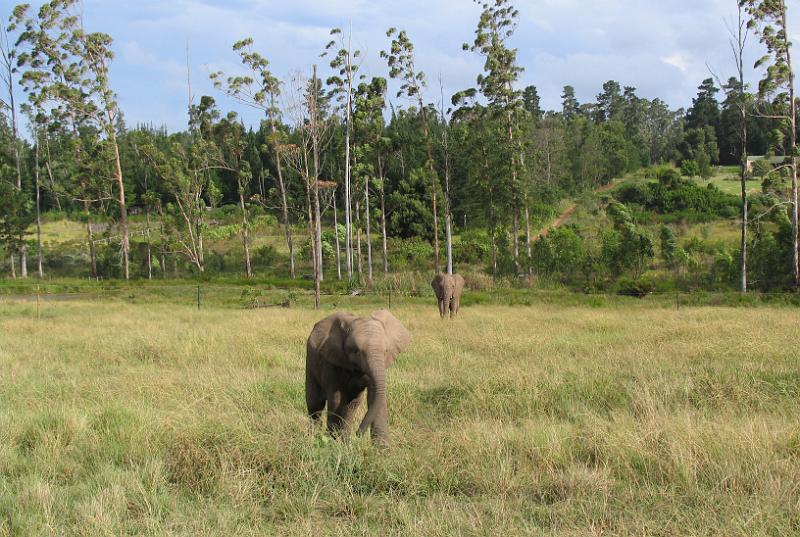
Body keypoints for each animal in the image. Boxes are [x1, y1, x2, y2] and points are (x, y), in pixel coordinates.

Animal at [304, 308, 410, 446]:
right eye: (356, 351)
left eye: (386, 351)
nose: (358, 434)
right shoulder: (332, 363)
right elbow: (336, 399)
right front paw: (331, 443)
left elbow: (375, 398)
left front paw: (382, 450)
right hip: (311, 361)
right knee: (315, 403)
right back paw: (314, 438)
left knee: (352, 406)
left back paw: (345, 442)